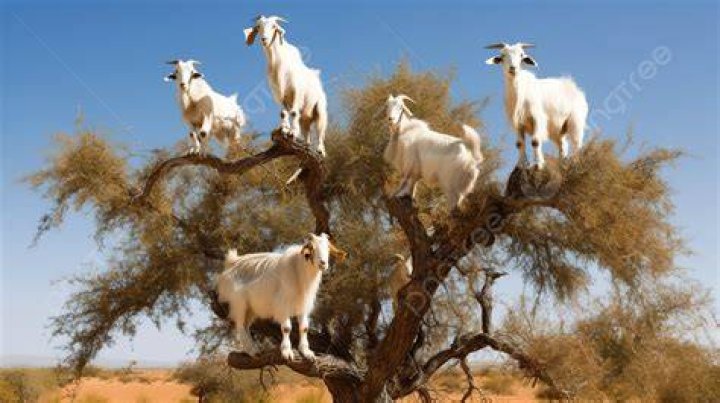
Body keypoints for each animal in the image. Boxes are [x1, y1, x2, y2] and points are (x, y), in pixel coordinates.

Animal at [217, 233, 345, 360]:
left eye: (328, 249)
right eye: (312, 248)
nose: (323, 263)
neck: (298, 270)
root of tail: (232, 262)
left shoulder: (303, 306)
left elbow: (304, 328)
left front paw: (306, 352)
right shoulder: (283, 306)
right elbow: (287, 328)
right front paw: (287, 351)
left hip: (251, 309)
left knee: (246, 326)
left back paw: (253, 349)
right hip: (239, 303)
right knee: (240, 325)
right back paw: (253, 351)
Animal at [244, 15, 328, 156]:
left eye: (274, 26)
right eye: (259, 26)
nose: (264, 39)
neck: (279, 65)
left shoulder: (296, 93)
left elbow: (293, 112)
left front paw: (293, 132)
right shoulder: (279, 95)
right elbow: (283, 113)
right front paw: (284, 129)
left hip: (320, 109)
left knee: (320, 130)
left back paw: (320, 150)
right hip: (305, 117)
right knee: (307, 132)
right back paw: (306, 146)